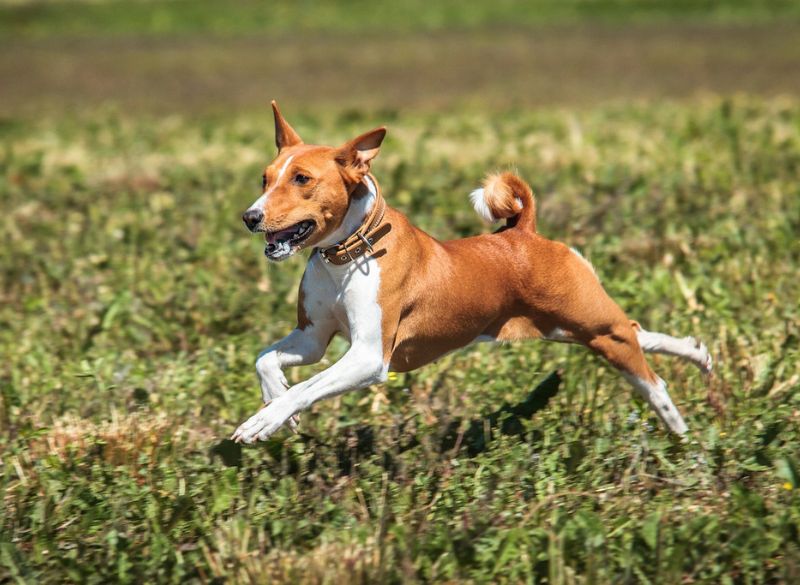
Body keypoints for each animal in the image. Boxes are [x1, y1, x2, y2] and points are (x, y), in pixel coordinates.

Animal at [228, 102, 708, 442]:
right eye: (265, 179)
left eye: (302, 179)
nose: (250, 217)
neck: (343, 260)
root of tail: (524, 231)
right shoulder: (313, 338)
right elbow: (266, 361)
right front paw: (277, 407)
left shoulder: (368, 356)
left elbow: (305, 389)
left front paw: (265, 420)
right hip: (572, 329)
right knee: (638, 332)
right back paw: (696, 353)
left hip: (592, 326)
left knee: (651, 376)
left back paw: (680, 434)